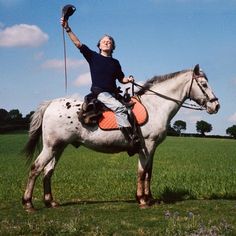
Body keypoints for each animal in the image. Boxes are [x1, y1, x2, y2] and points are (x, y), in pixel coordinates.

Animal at [21, 63, 219, 211]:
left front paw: (150, 198)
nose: (216, 106)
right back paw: (28, 203)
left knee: (48, 171)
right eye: (204, 84)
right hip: (51, 147)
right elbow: (142, 172)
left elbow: (149, 172)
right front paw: (142, 200)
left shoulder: (152, 149)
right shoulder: (146, 146)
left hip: (59, 148)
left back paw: (50, 202)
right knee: (36, 168)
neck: (156, 106)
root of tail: (50, 104)